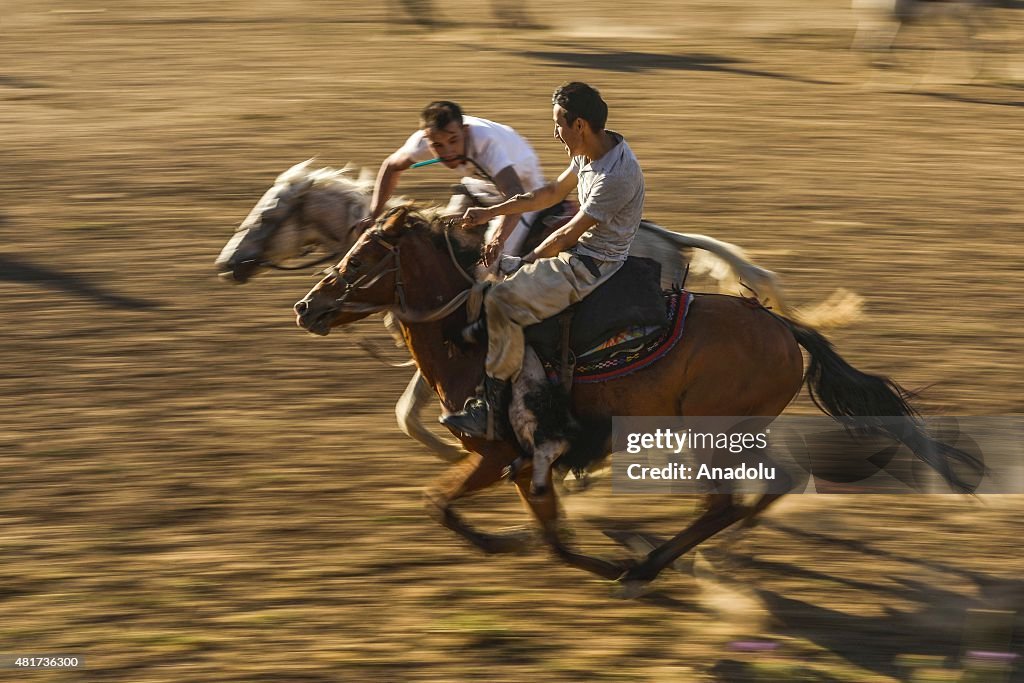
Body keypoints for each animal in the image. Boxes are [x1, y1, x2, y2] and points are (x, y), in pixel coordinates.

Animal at [292, 206, 978, 593]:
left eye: (363, 256)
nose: (307, 306)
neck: (469, 338)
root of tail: (783, 328)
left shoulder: (500, 453)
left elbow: (449, 506)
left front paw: (518, 545)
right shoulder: (522, 462)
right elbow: (520, 521)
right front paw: (526, 541)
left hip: (709, 434)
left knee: (725, 502)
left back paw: (648, 569)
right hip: (736, 433)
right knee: (777, 482)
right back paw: (705, 556)